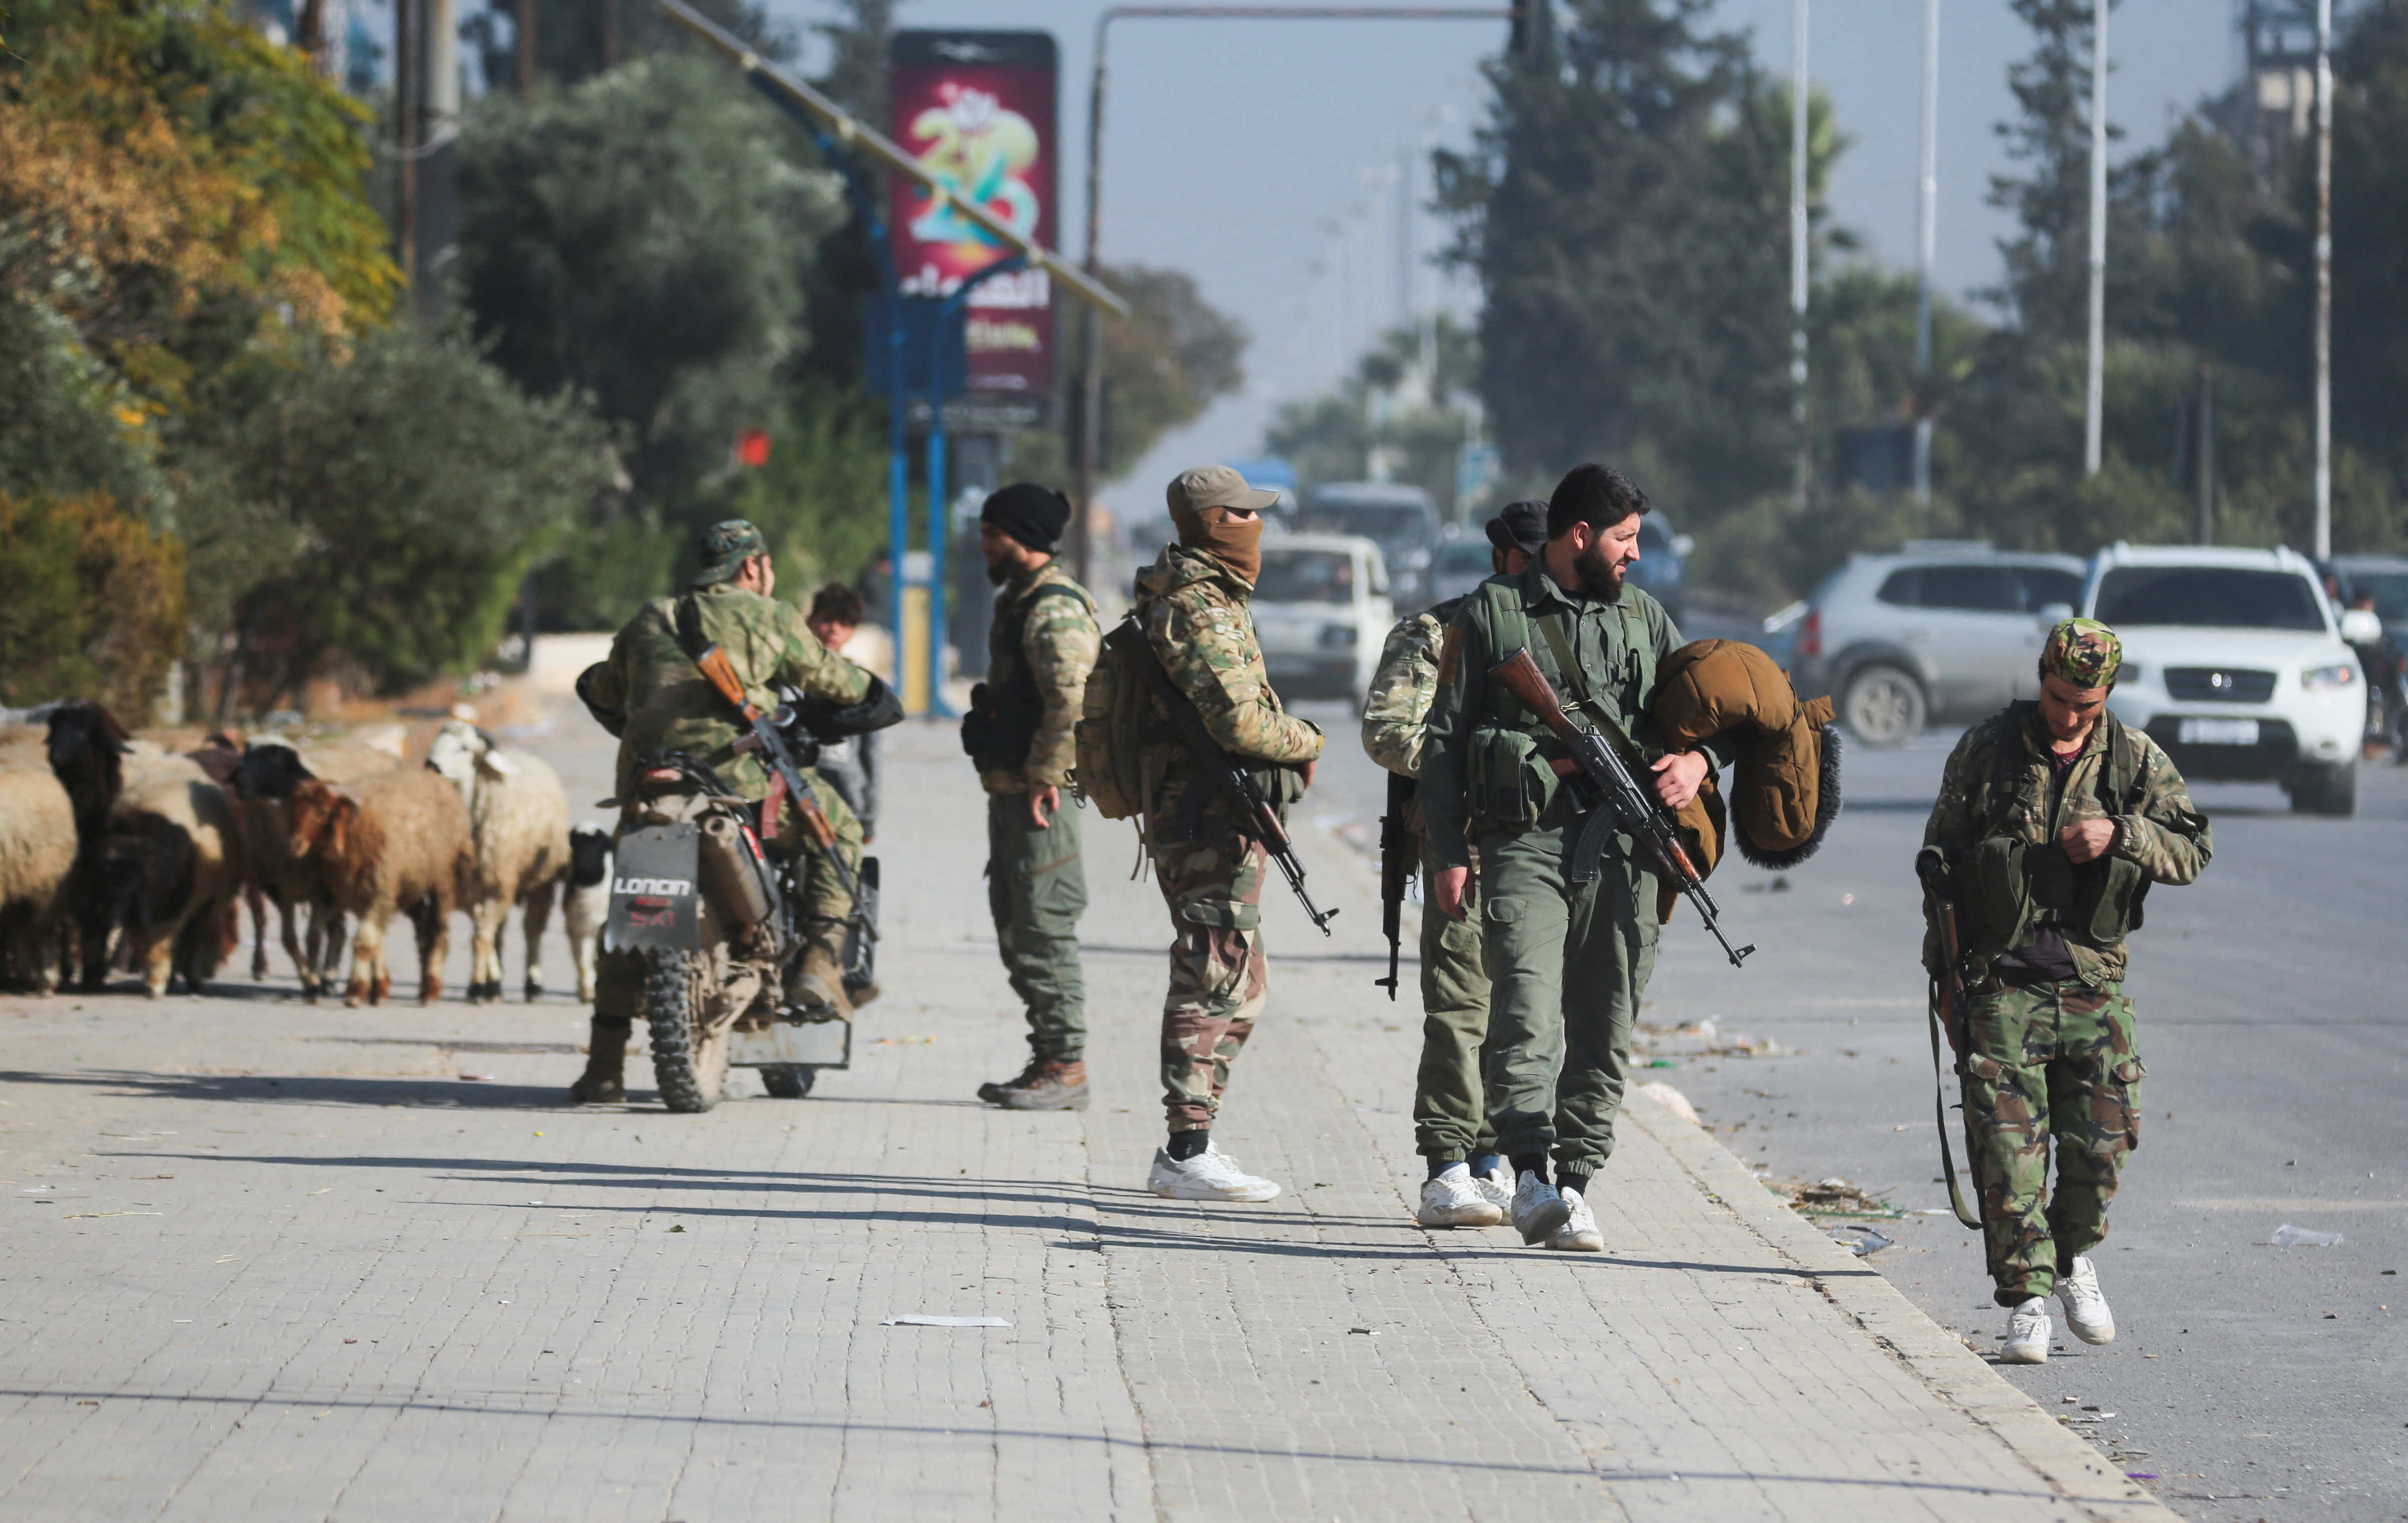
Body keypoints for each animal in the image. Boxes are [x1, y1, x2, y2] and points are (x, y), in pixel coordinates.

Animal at [288, 770, 474, 1010]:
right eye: (295, 808)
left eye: (323, 811)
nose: (294, 845)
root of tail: (439, 779)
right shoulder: (334, 895)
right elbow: (316, 937)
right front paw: (377, 989)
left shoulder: (381, 893)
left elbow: (364, 942)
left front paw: (356, 992)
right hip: (411, 887)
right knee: (423, 933)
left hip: (443, 882)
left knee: (438, 932)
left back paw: (431, 989)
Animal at [426, 721, 570, 1005]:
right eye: (436, 741)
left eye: (465, 748)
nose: (431, 764)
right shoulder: (470, 890)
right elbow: (485, 936)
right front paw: (487, 985)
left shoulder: (499, 884)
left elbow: (481, 938)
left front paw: (476, 988)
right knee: (500, 932)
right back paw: (497, 981)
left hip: (540, 882)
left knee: (532, 931)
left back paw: (533, 985)